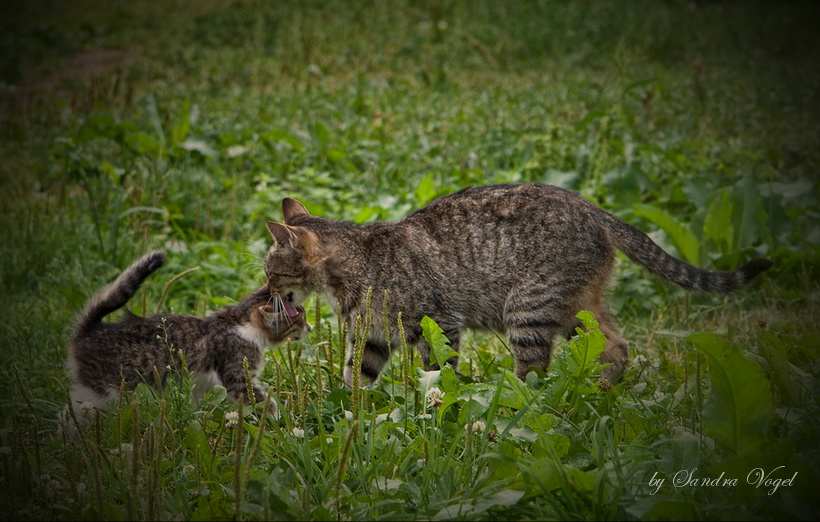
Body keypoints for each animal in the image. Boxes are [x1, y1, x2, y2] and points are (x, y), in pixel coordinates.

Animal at [66, 250, 310, 416]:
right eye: (300, 318)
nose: (310, 328)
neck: (241, 323)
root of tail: (88, 332)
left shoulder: (201, 385)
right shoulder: (239, 376)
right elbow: (261, 401)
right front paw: (280, 425)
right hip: (103, 392)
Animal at [266, 182, 772, 382]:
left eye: (271, 274)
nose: (266, 294)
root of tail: (596, 209)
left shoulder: (436, 322)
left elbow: (440, 371)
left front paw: (441, 407)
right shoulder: (371, 335)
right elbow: (356, 376)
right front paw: (348, 414)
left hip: (529, 307)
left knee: (533, 371)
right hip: (575, 309)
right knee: (617, 344)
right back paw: (602, 389)